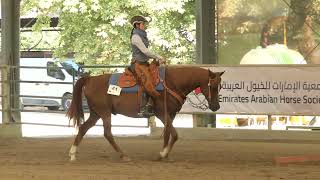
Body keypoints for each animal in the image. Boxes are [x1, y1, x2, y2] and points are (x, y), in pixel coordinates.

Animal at [66, 65, 224, 162]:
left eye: (220, 86)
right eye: (212, 86)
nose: (216, 106)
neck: (172, 83)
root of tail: (90, 79)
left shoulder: (170, 114)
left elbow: (168, 133)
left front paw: (163, 156)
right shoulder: (162, 113)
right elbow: (175, 134)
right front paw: (163, 153)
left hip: (96, 113)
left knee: (83, 128)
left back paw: (73, 154)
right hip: (104, 112)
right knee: (107, 133)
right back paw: (124, 155)